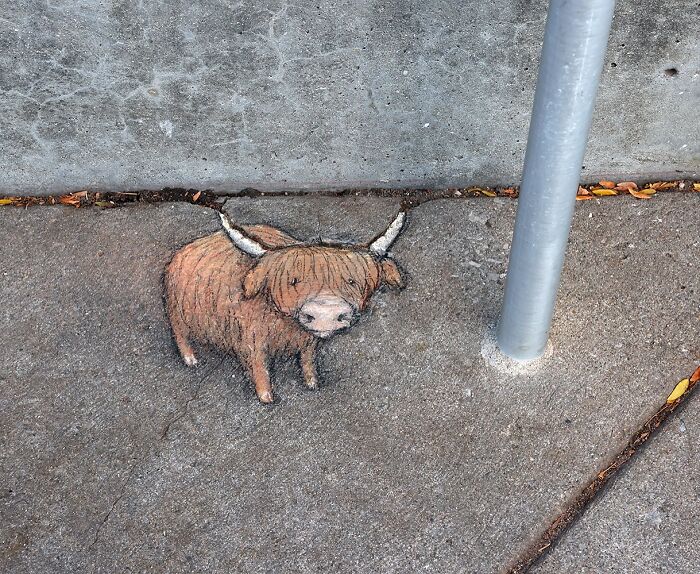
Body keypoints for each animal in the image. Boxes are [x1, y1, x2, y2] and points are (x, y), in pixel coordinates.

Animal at [164, 210, 406, 403]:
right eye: (293, 280)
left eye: (351, 281)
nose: (326, 312)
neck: (285, 327)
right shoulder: (251, 342)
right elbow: (260, 369)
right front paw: (266, 398)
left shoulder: (308, 341)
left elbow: (307, 359)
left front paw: (312, 383)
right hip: (175, 312)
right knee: (180, 335)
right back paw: (191, 360)